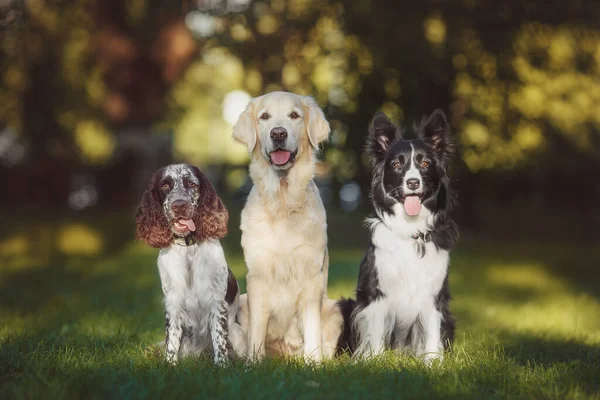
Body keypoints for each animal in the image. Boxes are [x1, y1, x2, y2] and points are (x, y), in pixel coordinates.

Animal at [136, 163, 246, 366]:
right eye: (165, 185)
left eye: (192, 184)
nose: (179, 205)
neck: (188, 250)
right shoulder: (173, 302)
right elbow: (171, 340)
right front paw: (169, 366)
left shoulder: (216, 301)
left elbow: (220, 339)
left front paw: (222, 366)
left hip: (236, 333)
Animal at [232, 92, 342, 360]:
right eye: (264, 116)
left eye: (294, 115)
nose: (278, 134)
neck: (282, 201)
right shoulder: (257, 276)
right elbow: (256, 333)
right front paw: (252, 363)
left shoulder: (312, 277)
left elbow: (312, 329)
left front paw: (314, 362)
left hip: (334, 308)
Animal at [350, 109, 458, 362]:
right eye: (397, 164)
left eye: (425, 163)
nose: (413, 182)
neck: (411, 230)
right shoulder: (376, 293)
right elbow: (375, 332)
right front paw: (374, 361)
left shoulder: (434, 296)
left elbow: (432, 332)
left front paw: (432, 363)